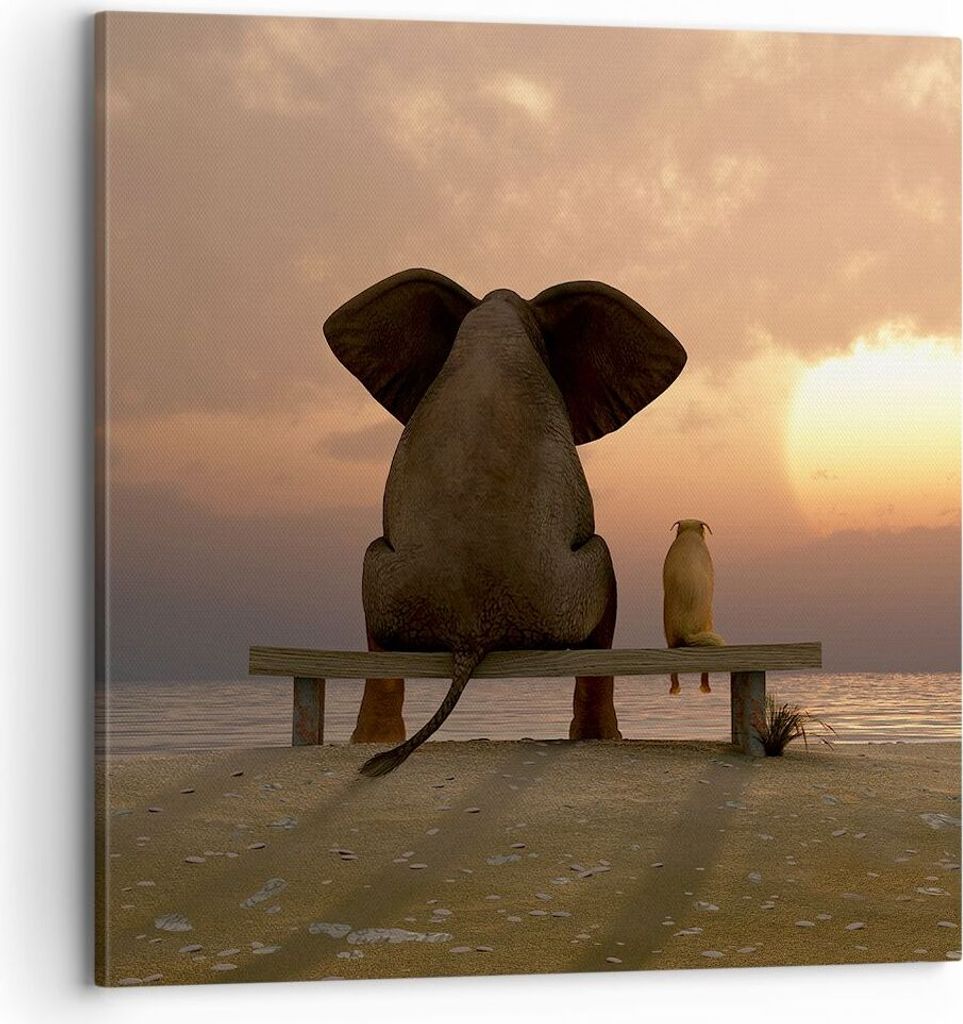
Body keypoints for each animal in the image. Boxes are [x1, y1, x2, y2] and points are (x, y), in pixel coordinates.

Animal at [323, 269, 687, 775]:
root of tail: (471, 635)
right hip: (565, 591)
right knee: (603, 581)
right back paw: (599, 738)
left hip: (389, 584)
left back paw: (369, 744)